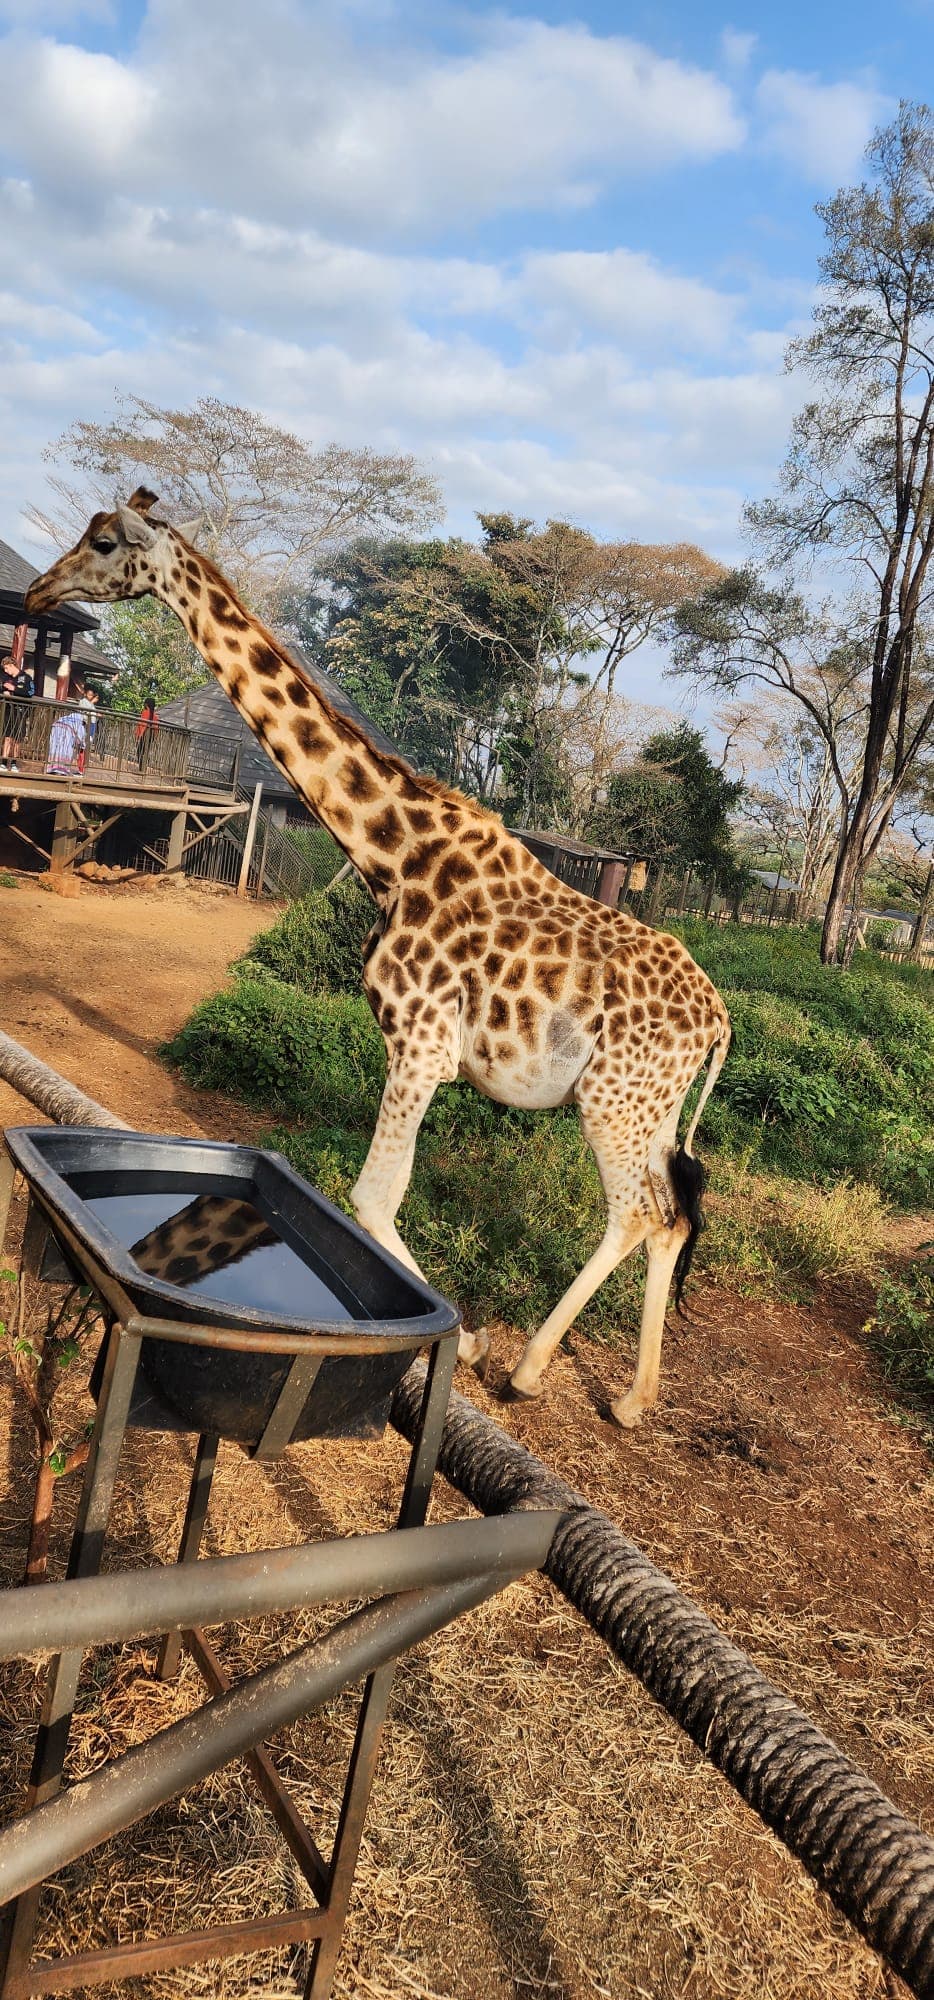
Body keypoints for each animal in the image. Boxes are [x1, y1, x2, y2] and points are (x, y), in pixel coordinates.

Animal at [25, 489, 731, 1427]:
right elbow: (377, 1197)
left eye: (104, 543)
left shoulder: (421, 1043)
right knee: (671, 1216)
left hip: (613, 1103)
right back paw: (631, 1399)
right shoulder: (423, 1050)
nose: (38, 591)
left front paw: (470, 1342)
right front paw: (474, 1341)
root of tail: (719, 1019)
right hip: (647, 1105)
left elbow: (371, 1196)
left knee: (636, 1215)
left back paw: (531, 1370)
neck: (389, 853)